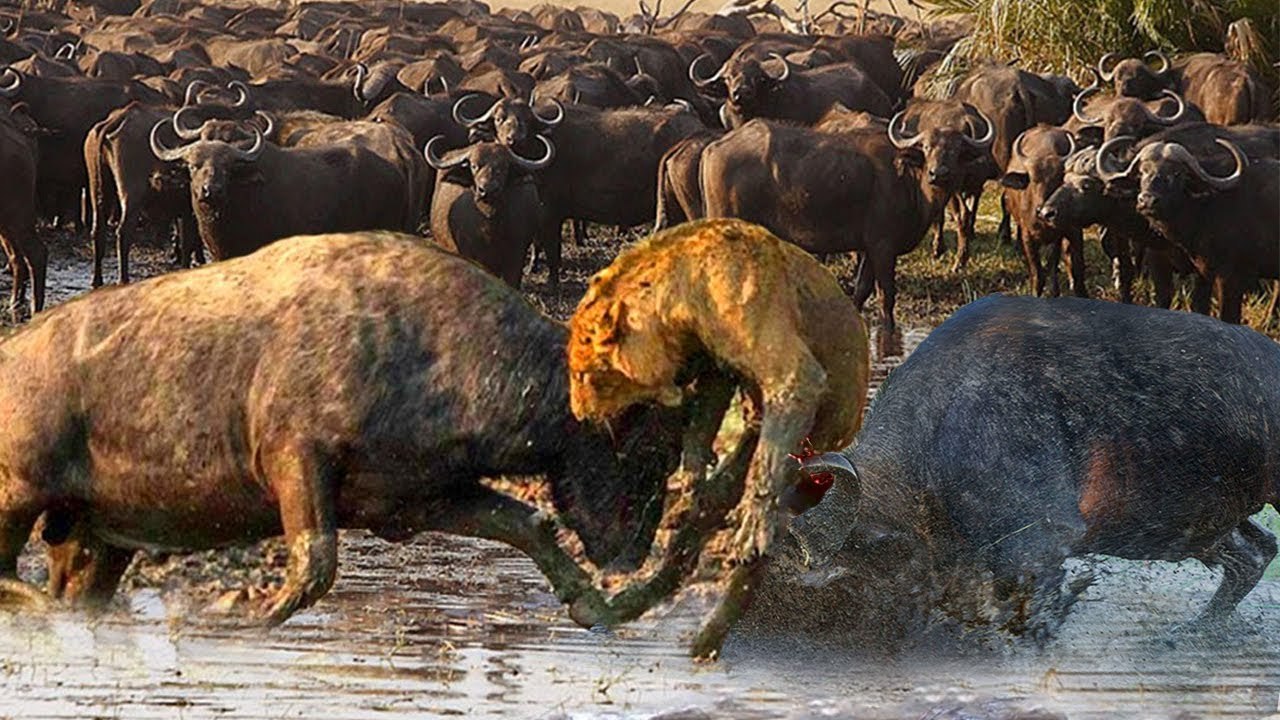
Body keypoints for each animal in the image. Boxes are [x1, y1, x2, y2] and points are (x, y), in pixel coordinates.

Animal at [567, 217, 870, 657]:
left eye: (583, 374)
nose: (579, 415)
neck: (683, 296)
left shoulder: (791, 370)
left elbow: (769, 459)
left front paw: (751, 528)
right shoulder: (716, 363)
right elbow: (702, 424)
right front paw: (689, 484)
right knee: (687, 544)